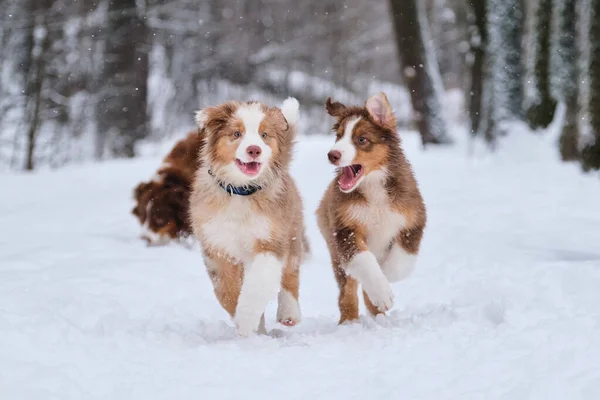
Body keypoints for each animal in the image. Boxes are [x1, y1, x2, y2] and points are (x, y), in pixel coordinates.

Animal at [190, 97, 310, 338]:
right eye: (237, 133)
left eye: (264, 135)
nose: (254, 149)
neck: (240, 192)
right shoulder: (217, 248)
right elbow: (226, 291)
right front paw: (248, 326)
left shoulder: (270, 242)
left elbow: (257, 286)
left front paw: (246, 322)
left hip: (292, 230)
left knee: (290, 273)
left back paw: (289, 313)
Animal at [314, 92, 426, 324]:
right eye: (338, 136)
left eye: (361, 140)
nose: (332, 154)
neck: (373, 186)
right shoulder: (344, 229)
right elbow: (364, 261)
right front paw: (382, 293)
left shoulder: (414, 220)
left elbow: (401, 262)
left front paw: (386, 279)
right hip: (333, 248)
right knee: (347, 290)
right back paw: (350, 321)